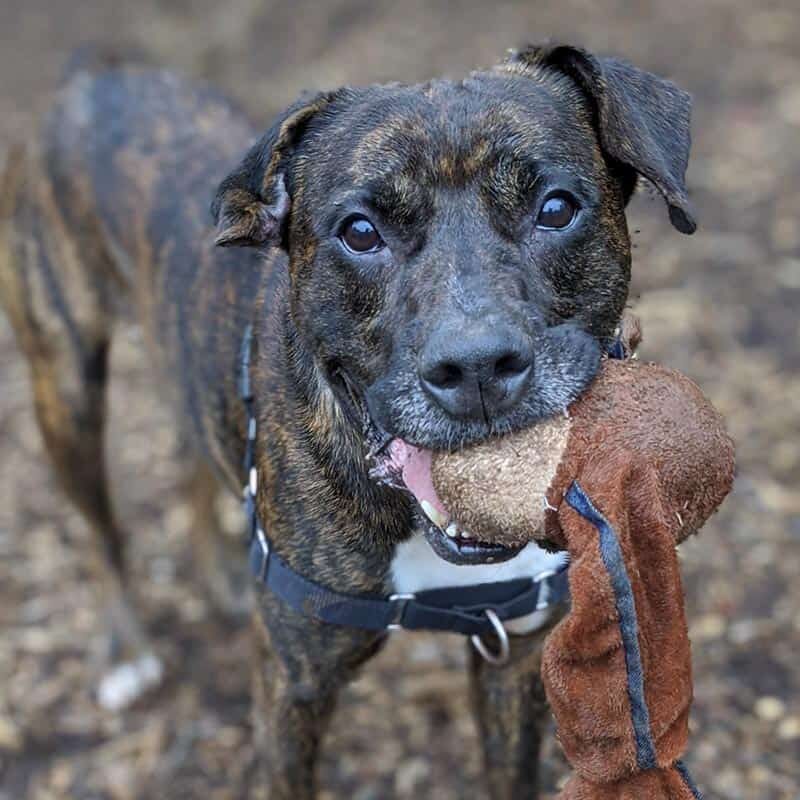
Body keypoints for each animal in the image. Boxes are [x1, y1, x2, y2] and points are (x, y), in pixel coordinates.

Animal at [0, 40, 692, 796]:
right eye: (360, 231)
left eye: (556, 208)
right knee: (100, 528)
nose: (477, 366)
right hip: (65, 387)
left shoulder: (514, 661)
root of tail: (93, 74)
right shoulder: (292, 688)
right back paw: (127, 650)